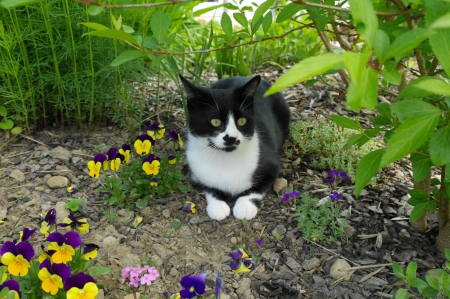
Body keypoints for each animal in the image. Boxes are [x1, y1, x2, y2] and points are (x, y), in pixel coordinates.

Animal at [180, 75, 292, 220]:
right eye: (215, 121)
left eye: (242, 121)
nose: (232, 138)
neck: (226, 159)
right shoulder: (195, 172)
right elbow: (208, 186)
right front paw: (218, 206)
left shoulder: (272, 166)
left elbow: (257, 188)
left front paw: (245, 206)